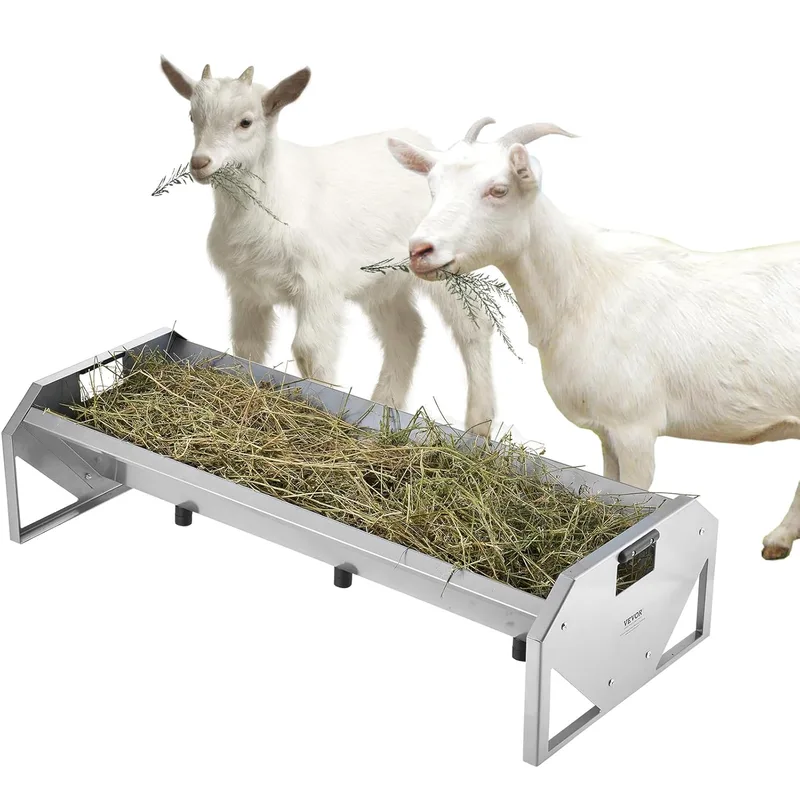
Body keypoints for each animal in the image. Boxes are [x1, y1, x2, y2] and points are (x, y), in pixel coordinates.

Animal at [159, 59, 496, 435]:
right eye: (192, 116)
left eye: (246, 121)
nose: (200, 162)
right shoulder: (247, 288)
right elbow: (247, 346)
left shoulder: (319, 286)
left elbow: (309, 349)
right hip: (381, 281)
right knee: (405, 331)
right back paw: (385, 407)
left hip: (444, 264)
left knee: (474, 327)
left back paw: (480, 426)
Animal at [388, 118, 800, 559]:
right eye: (432, 186)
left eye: (499, 189)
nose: (420, 251)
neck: (582, 287)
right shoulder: (607, 429)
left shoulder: (636, 426)